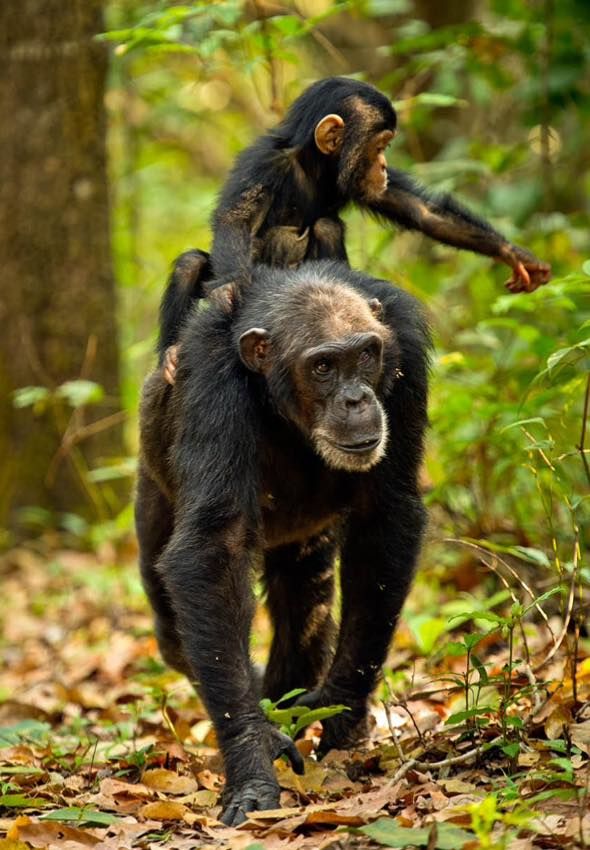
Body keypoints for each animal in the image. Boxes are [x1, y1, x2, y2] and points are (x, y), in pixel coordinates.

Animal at [136, 259, 430, 826]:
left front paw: (343, 707)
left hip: (304, 545)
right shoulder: (211, 381)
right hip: (152, 493)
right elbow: (216, 546)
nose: (356, 399)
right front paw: (253, 752)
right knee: (173, 629)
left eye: (366, 355)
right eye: (323, 366)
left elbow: (384, 516)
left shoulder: (404, 355)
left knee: (303, 610)